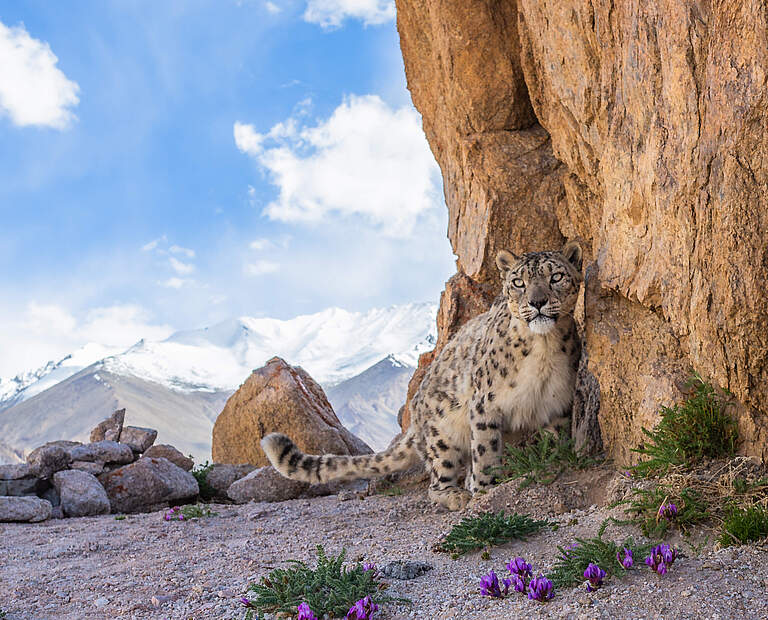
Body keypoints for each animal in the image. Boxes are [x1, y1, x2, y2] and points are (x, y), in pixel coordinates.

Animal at [262, 240, 584, 512]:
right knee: (438, 479)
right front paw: (485, 492)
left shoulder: (557, 403)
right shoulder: (484, 405)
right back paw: (455, 495)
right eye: (518, 282)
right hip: (443, 435)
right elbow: (486, 451)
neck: (543, 348)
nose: (537, 302)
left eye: (556, 277)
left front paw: (561, 460)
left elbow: (558, 437)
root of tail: (415, 416)